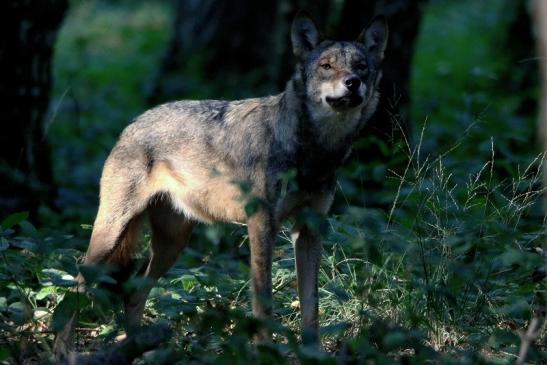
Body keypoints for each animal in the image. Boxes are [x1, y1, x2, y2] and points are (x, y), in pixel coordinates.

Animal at [53, 12, 388, 356]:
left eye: (361, 66)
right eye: (327, 66)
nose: (353, 82)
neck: (313, 152)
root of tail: (133, 123)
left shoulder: (309, 230)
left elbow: (312, 303)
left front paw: (313, 354)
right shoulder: (261, 225)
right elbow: (263, 300)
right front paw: (266, 352)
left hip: (172, 244)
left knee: (133, 291)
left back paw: (141, 350)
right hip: (112, 235)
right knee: (76, 286)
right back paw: (65, 351)